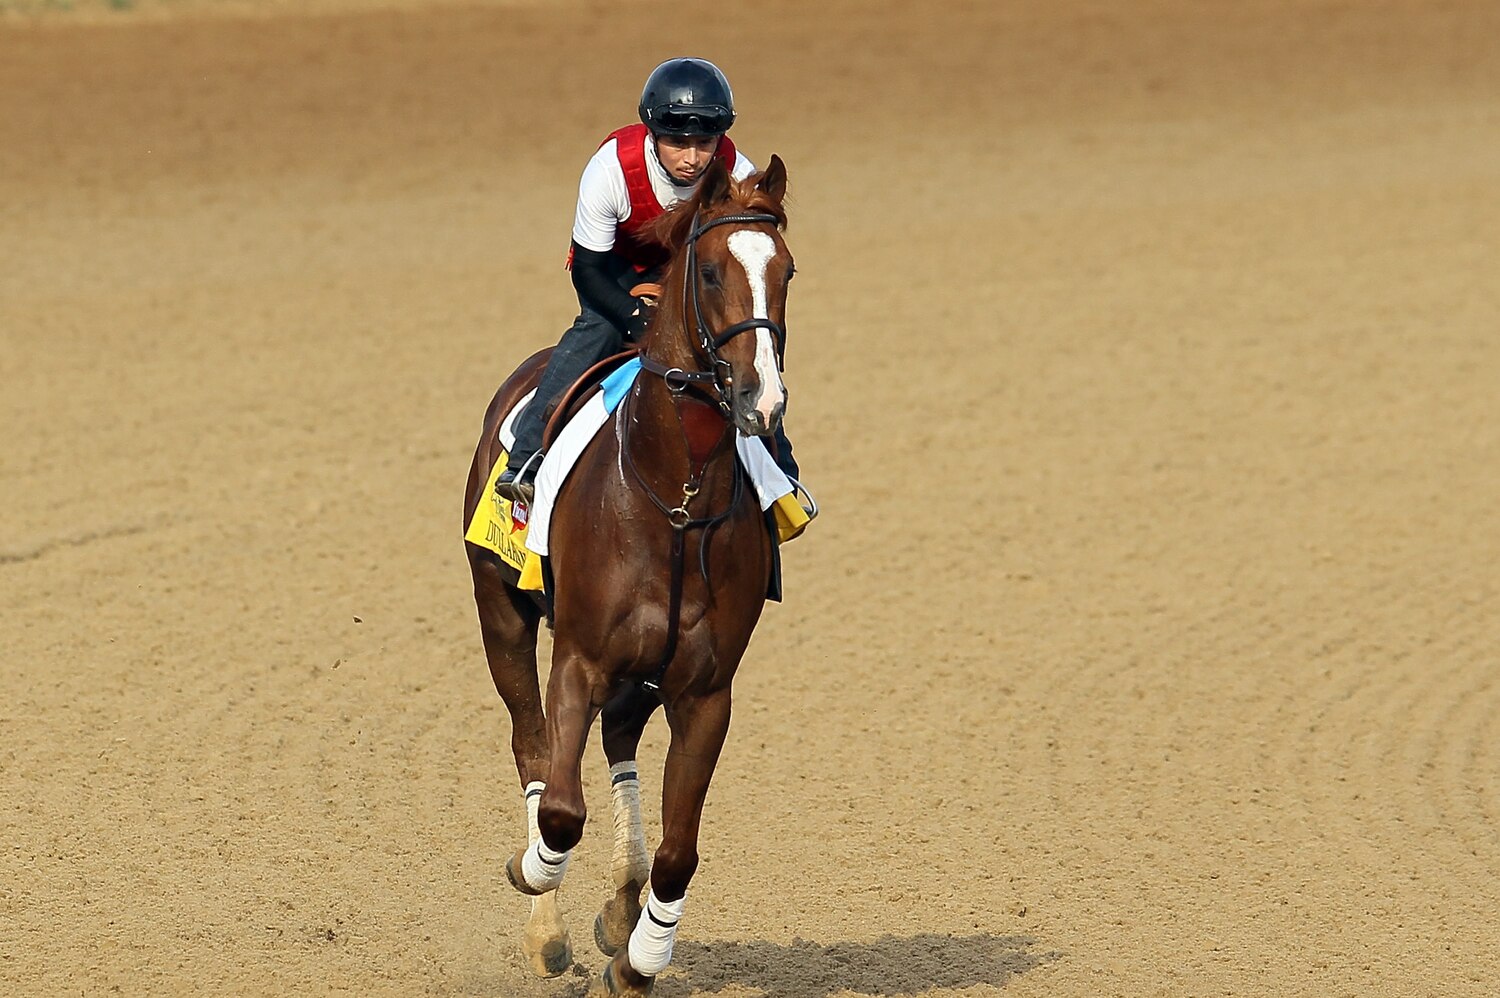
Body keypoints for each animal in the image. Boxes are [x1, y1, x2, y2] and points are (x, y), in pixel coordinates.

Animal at [462, 154, 795, 996]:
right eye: (709, 271)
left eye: (786, 270)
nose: (762, 398)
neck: (674, 500)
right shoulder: (578, 659)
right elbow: (558, 809)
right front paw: (534, 876)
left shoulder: (706, 689)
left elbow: (679, 851)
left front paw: (639, 957)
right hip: (501, 614)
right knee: (532, 747)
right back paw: (547, 929)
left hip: (646, 670)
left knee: (616, 743)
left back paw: (619, 907)